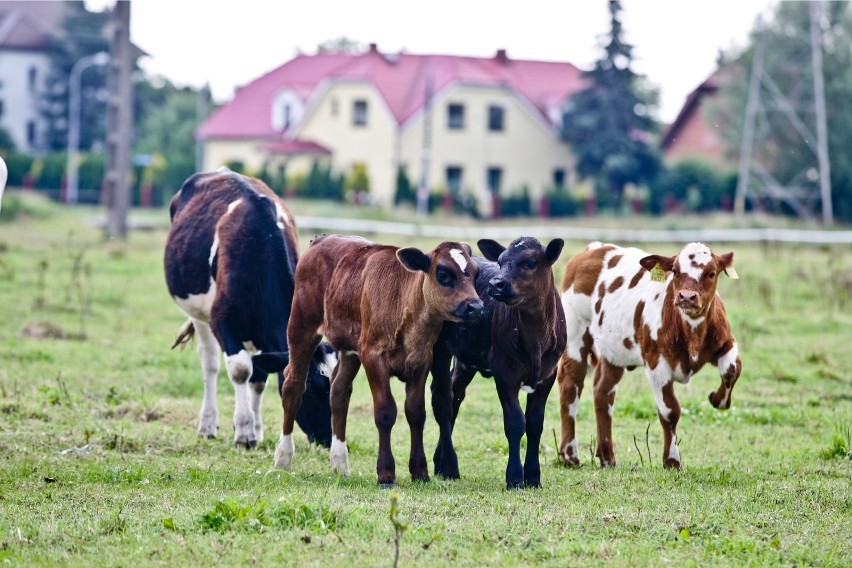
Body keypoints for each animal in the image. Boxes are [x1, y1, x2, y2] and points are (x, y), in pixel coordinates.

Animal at [165, 169, 338, 448]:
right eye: (310, 388)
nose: (328, 438)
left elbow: (259, 377)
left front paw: (256, 430)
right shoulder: (222, 321)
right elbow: (240, 369)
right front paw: (244, 432)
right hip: (197, 311)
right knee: (209, 363)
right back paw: (207, 424)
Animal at [276, 233, 482, 486]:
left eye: (475, 273)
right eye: (443, 273)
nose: (476, 306)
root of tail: (322, 239)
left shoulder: (422, 360)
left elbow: (416, 413)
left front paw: (420, 472)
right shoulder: (373, 357)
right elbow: (385, 412)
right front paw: (386, 474)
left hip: (350, 348)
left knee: (339, 391)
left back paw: (340, 463)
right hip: (301, 326)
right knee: (293, 385)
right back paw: (283, 458)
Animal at [560, 242, 740, 468]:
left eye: (711, 273)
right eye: (676, 271)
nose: (687, 297)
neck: (690, 331)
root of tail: (594, 248)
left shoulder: (725, 342)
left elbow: (732, 370)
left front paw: (716, 398)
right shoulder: (657, 363)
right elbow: (670, 411)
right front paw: (672, 460)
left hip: (613, 352)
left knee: (603, 393)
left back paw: (607, 456)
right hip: (574, 333)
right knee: (571, 386)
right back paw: (570, 454)